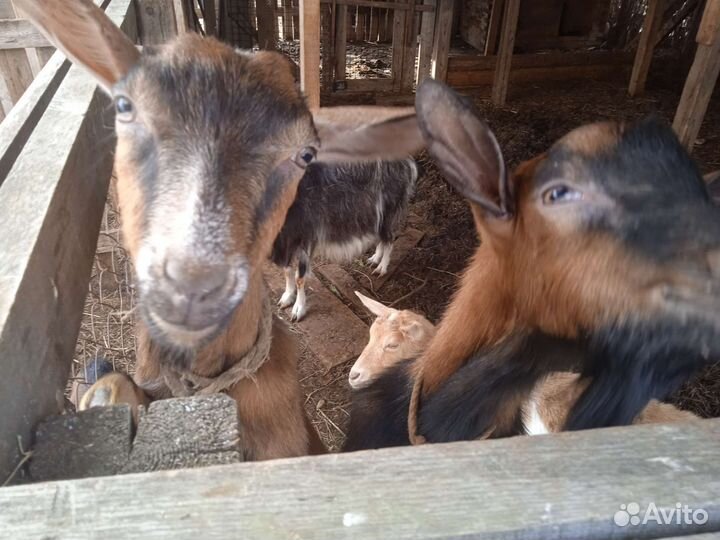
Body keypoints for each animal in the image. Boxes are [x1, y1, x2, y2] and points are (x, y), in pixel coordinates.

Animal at [271, 159, 418, 321]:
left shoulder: (305, 236)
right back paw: (374, 259)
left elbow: (300, 277)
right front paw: (286, 298)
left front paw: (298, 310)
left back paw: (381, 268)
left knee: (390, 238)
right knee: (382, 237)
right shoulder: (283, 241)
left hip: (390, 209)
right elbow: (287, 270)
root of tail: (408, 163)